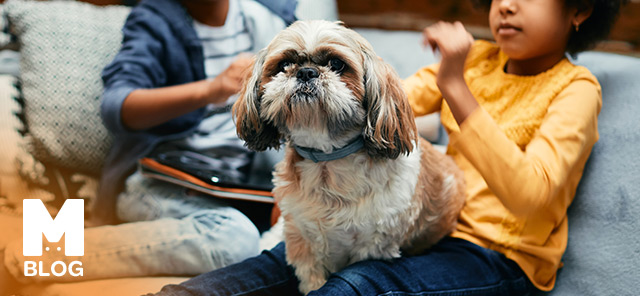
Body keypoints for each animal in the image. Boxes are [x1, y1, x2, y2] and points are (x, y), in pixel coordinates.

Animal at [234, 20, 464, 294]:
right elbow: (311, 279)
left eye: (336, 64)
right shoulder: (303, 241)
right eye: (284, 64)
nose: (306, 72)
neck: (327, 163)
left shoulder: (371, 245)